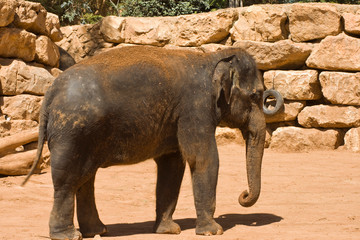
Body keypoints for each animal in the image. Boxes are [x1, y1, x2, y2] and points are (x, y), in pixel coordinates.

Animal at [22, 45, 270, 240]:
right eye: (256, 95)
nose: (243, 195)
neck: (211, 58)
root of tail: (50, 93)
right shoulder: (195, 108)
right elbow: (202, 158)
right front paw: (213, 231)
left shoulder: (176, 119)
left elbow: (173, 165)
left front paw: (168, 230)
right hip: (71, 131)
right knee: (67, 179)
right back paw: (69, 235)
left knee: (85, 177)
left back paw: (98, 232)